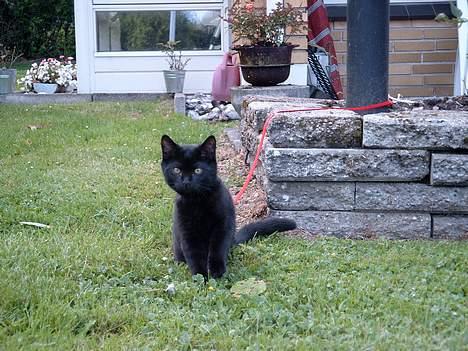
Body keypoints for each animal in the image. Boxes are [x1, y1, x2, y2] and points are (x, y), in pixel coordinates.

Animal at [161, 135, 296, 280]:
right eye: (176, 170)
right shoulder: (186, 230)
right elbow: (193, 254)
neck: (197, 201)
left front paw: (216, 271)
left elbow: (218, 248)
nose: (186, 181)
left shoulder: (224, 225)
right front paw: (201, 276)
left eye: (198, 171)